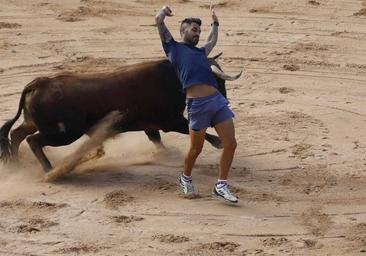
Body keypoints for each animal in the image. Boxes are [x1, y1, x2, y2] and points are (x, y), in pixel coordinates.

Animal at [0, 52, 243, 171]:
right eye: (217, 81)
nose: (226, 101)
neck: (172, 78)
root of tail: (39, 83)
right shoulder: (171, 121)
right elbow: (189, 130)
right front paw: (219, 142)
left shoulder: (151, 125)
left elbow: (156, 140)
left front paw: (165, 154)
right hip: (64, 133)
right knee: (33, 140)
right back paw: (49, 170)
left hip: (36, 122)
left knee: (17, 134)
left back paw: (17, 164)